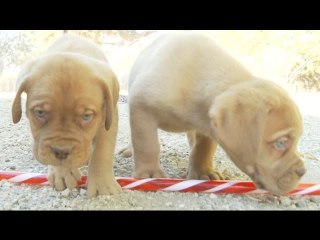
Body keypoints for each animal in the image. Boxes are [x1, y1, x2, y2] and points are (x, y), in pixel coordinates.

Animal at [12, 33, 121, 197]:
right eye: (40, 113)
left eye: (86, 116)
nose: (61, 152)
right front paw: (62, 173)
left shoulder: (109, 116)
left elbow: (103, 150)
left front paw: (103, 183)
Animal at [121, 33, 306, 195]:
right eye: (281, 143)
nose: (302, 171)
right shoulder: (141, 105)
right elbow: (146, 144)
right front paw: (149, 174)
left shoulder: (208, 124)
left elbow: (203, 148)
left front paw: (203, 173)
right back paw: (129, 150)